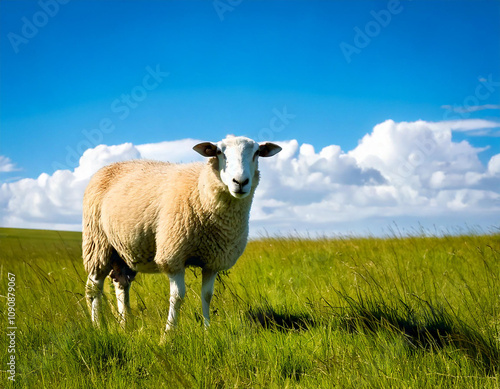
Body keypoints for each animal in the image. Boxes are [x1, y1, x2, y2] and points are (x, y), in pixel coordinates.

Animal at [82, 135, 282, 328]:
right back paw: (98, 325)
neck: (200, 192)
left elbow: (207, 295)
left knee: (121, 284)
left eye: (257, 153)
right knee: (93, 287)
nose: (240, 182)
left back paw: (126, 324)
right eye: (219, 152)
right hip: (97, 242)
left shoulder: (213, 261)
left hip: (122, 249)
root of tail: (107, 167)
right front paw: (169, 332)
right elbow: (177, 297)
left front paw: (208, 330)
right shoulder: (173, 255)